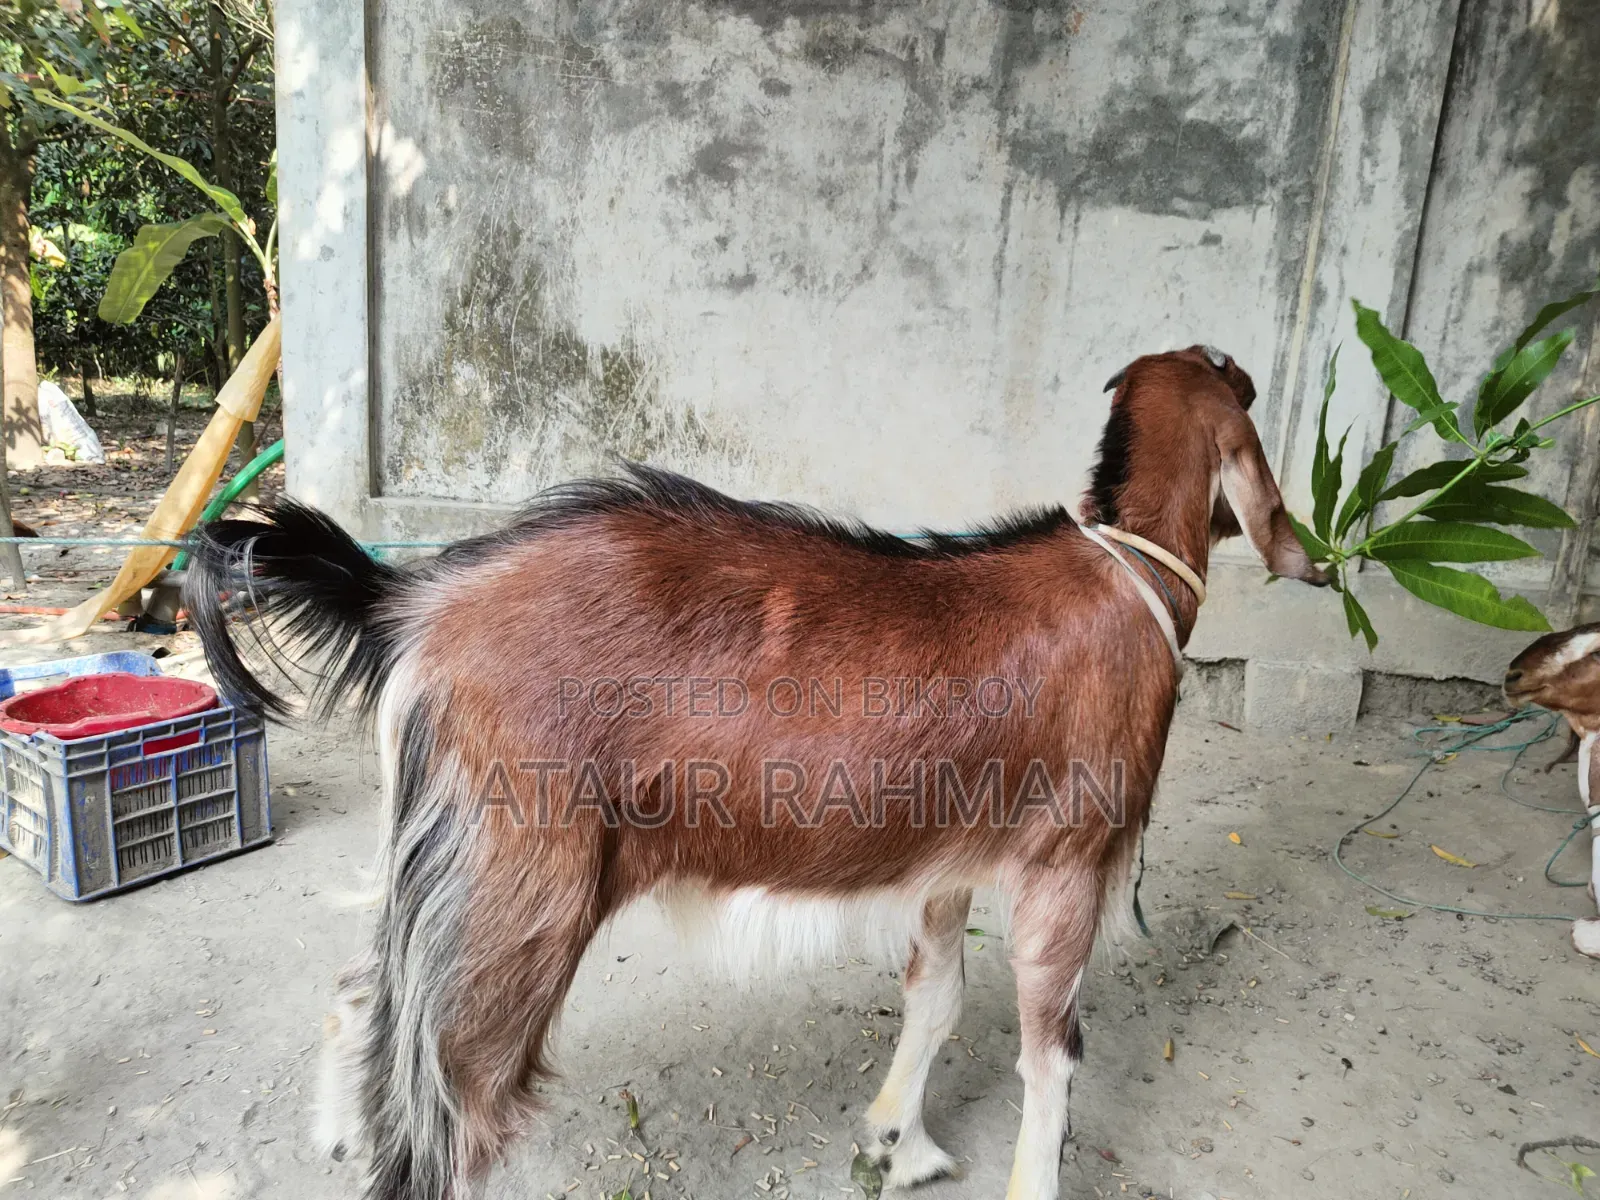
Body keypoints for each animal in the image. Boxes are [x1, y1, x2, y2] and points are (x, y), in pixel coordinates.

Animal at [183, 345, 1328, 1200]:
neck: (1128, 573)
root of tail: (412, 602)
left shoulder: (949, 862)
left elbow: (936, 998)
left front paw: (897, 1144)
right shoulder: (1066, 862)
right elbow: (1053, 1056)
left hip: (445, 864)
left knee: (364, 989)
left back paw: (339, 1130)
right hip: (519, 886)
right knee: (451, 1109)